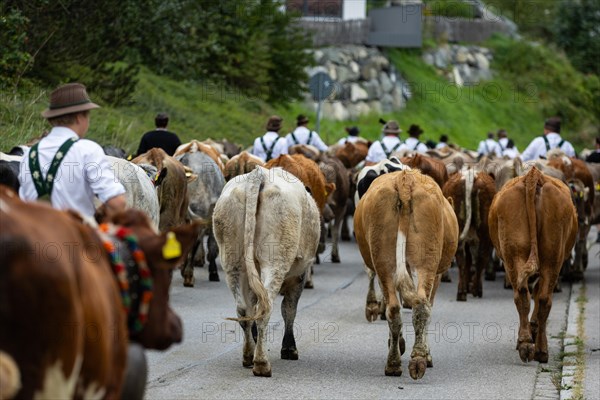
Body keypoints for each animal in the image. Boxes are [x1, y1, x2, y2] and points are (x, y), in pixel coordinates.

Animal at [213, 166, 322, 378]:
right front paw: (289, 348)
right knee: (265, 309)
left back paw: (249, 355)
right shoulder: (299, 277)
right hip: (274, 262)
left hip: (232, 263)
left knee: (244, 310)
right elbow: (289, 310)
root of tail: (259, 173)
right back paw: (261, 363)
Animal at [354, 170, 458, 380]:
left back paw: (396, 363)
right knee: (422, 306)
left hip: (384, 260)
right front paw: (426, 354)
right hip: (427, 262)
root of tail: (405, 178)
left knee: (395, 308)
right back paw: (417, 359)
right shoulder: (437, 275)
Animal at [442, 168, 494, 300]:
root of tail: (471, 175)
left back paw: (462, 292)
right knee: (479, 258)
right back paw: (475, 290)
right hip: (485, 234)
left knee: (464, 259)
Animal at [490, 167, 580, 364]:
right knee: (541, 297)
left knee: (526, 294)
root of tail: (534, 175)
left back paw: (528, 345)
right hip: (552, 258)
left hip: (516, 255)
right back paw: (537, 348)